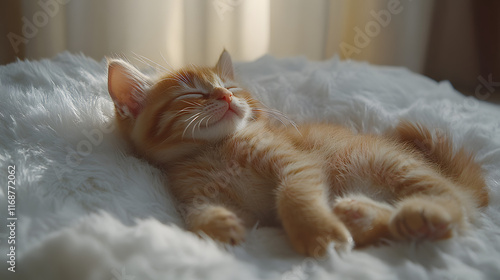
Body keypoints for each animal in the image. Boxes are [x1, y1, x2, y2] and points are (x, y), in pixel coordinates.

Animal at [106, 51, 488, 258]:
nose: (226, 97)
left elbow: (294, 193)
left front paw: (316, 232)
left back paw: (424, 213)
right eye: (192, 94)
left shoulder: (295, 161)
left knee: (457, 202)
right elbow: (194, 214)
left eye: (230, 87)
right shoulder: (198, 191)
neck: (216, 150)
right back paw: (361, 216)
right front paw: (214, 223)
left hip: (381, 161)